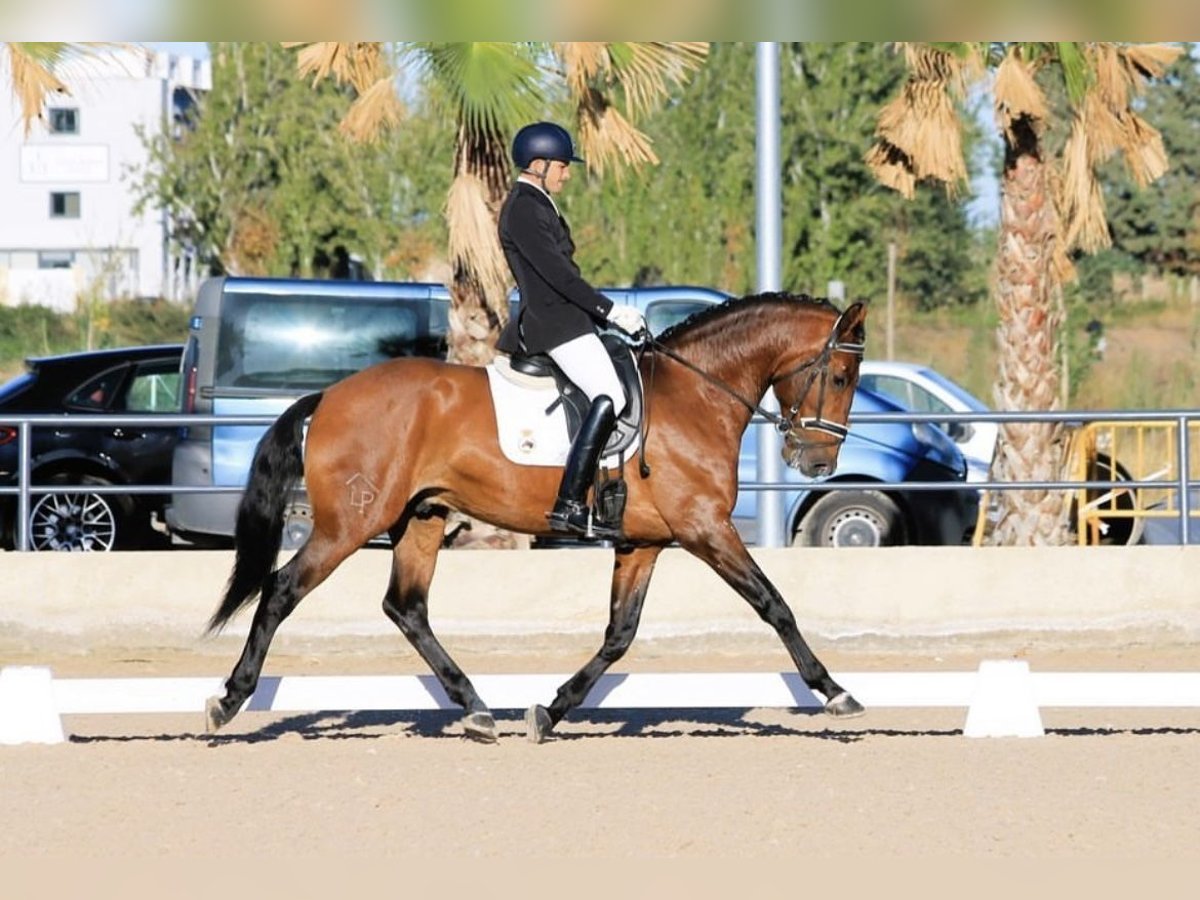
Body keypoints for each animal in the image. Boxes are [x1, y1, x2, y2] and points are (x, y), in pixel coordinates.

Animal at [201, 292, 868, 744]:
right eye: (839, 376)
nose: (817, 462)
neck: (694, 396)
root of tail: (330, 396)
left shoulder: (645, 543)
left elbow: (619, 634)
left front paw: (549, 710)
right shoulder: (706, 529)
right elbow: (774, 604)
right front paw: (835, 692)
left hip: (422, 517)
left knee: (406, 607)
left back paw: (475, 708)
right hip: (350, 524)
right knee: (282, 590)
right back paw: (229, 700)